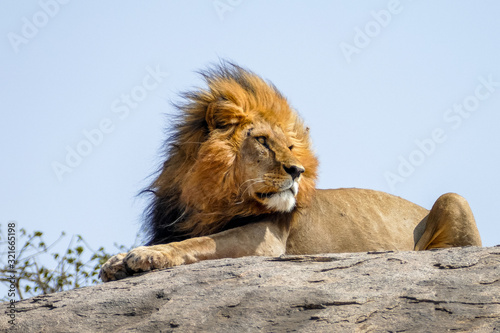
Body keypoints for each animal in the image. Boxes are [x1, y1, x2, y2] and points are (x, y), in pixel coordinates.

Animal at [100, 61, 480, 280]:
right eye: (263, 141)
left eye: (292, 148)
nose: (297, 170)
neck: (206, 197)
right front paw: (116, 261)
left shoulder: (266, 239)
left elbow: (200, 242)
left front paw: (147, 255)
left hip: (453, 198)